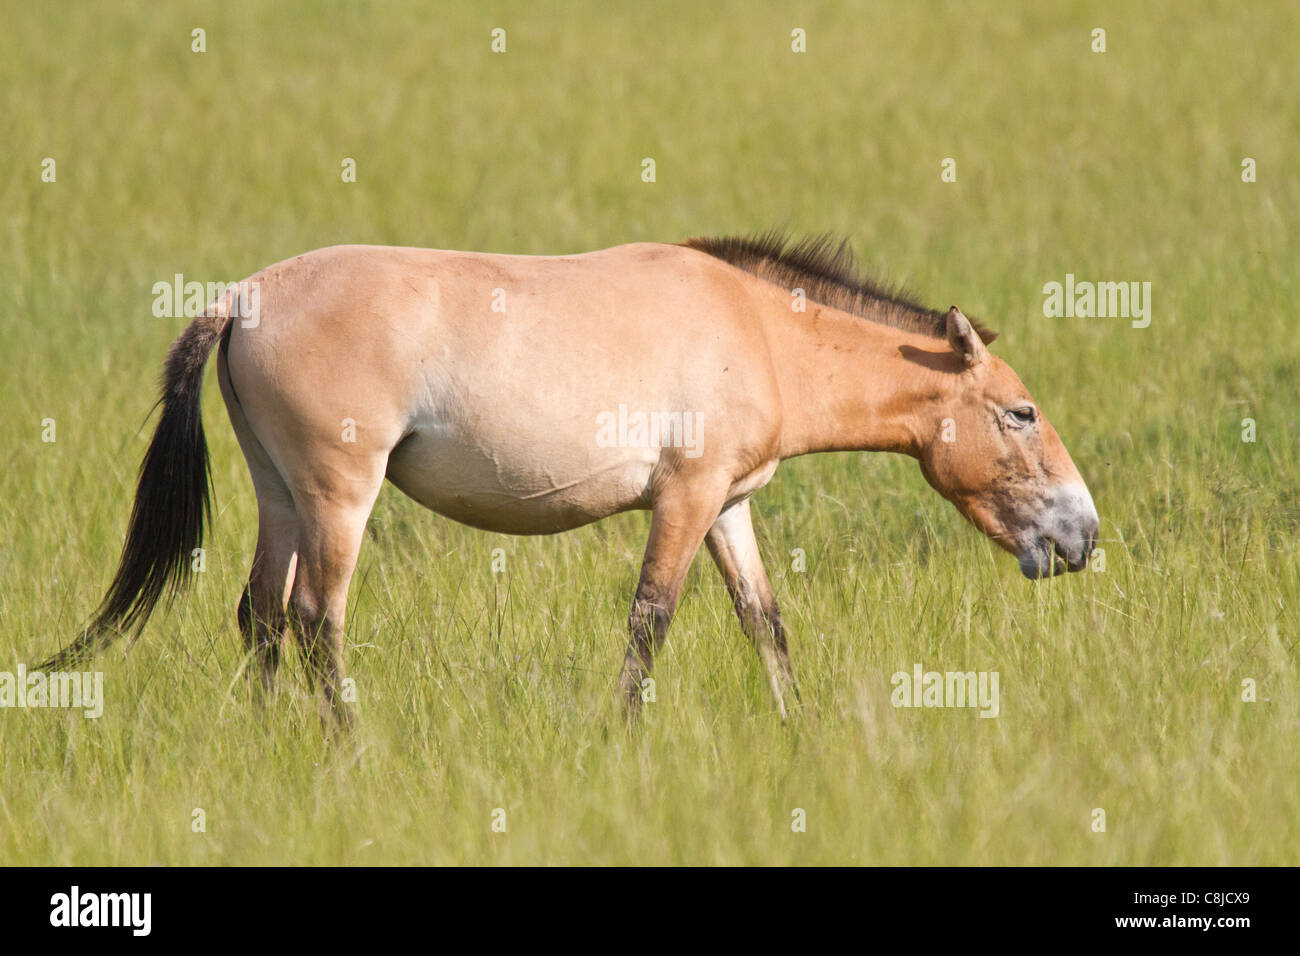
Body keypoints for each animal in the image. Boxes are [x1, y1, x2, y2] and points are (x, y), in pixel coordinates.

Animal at [37, 233, 1099, 726]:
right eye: (1020, 413)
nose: (1082, 535)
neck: (756, 330)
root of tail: (242, 298)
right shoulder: (683, 501)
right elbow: (651, 619)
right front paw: (619, 737)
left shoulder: (729, 507)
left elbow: (765, 621)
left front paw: (798, 730)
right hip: (340, 499)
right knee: (313, 622)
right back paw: (347, 746)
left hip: (281, 497)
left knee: (260, 616)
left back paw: (272, 740)